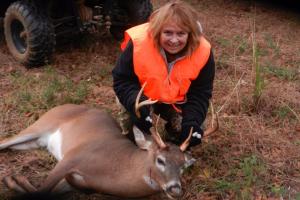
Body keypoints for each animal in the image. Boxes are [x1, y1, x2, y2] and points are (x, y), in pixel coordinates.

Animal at [0, 84, 218, 198]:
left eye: (183, 166)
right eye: (160, 160)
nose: (176, 189)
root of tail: (61, 105)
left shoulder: (74, 182)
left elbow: (42, 191)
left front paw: (15, 181)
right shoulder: (72, 157)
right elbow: (41, 191)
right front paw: (13, 180)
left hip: (36, 142)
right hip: (41, 125)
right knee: (5, 141)